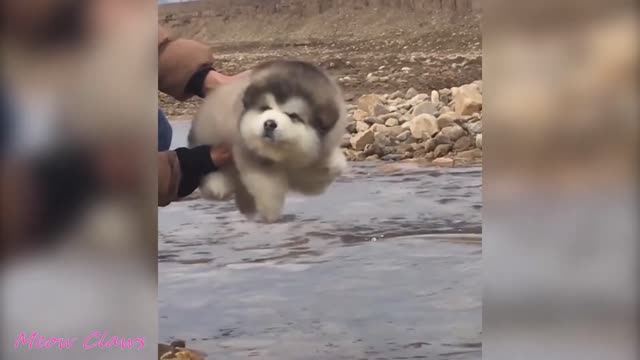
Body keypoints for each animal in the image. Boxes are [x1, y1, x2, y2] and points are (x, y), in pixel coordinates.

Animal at [189, 59, 348, 222]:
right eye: (265, 108)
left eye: (293, 116)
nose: (269, 124)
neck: (281, 154)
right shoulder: (248, 152)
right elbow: (266, 184)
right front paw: (271, 212)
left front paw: (335, 163)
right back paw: (218, 185)